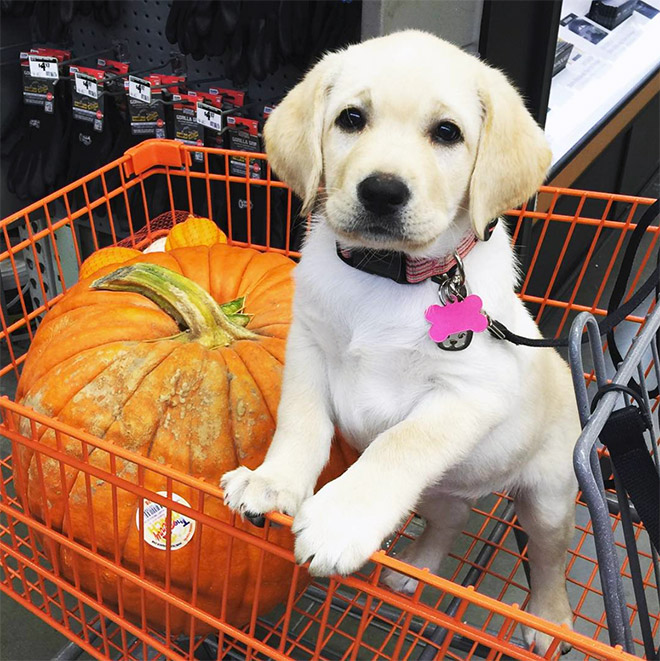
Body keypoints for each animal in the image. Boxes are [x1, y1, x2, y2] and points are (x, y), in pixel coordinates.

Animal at [223, 29, 576, 648]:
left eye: (447, 132)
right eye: (351, 118)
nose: (382, 192)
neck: (387, 275)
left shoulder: (470, 393)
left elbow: (398, 444)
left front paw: (341, 520)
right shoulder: (307, 348)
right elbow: (300, 423)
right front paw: (274, 482)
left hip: (549, 495)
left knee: (549, 554)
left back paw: (549, 620)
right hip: (440, 489)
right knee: (450, 518)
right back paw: (419, 566)